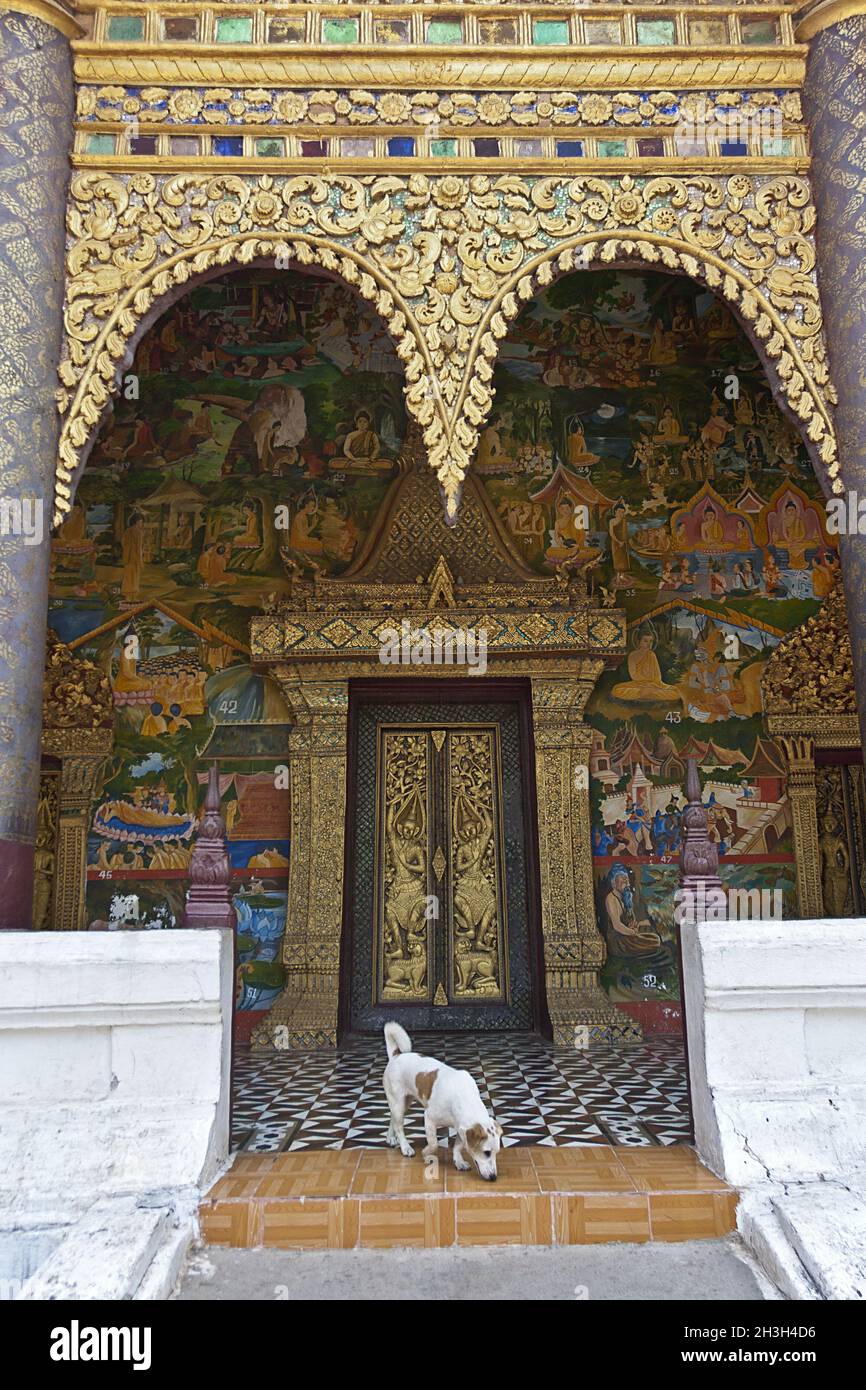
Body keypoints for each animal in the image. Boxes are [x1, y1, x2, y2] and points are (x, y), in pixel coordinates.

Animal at [383, 1017, 505, 1178]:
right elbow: (434, 1143)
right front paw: (426, 1153)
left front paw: (459, 1161)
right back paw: (405, 1147)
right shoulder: (429, 1119)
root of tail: (396, 1055)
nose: (493, 1177)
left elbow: (458, 1146)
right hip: (398, 1102)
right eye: (486, 1153)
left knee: (393, 1118)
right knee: (398, 1125)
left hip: (404, 1102)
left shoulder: (461, 1127)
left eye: (496, 1152)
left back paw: (390, 1138)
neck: (463, 1097)